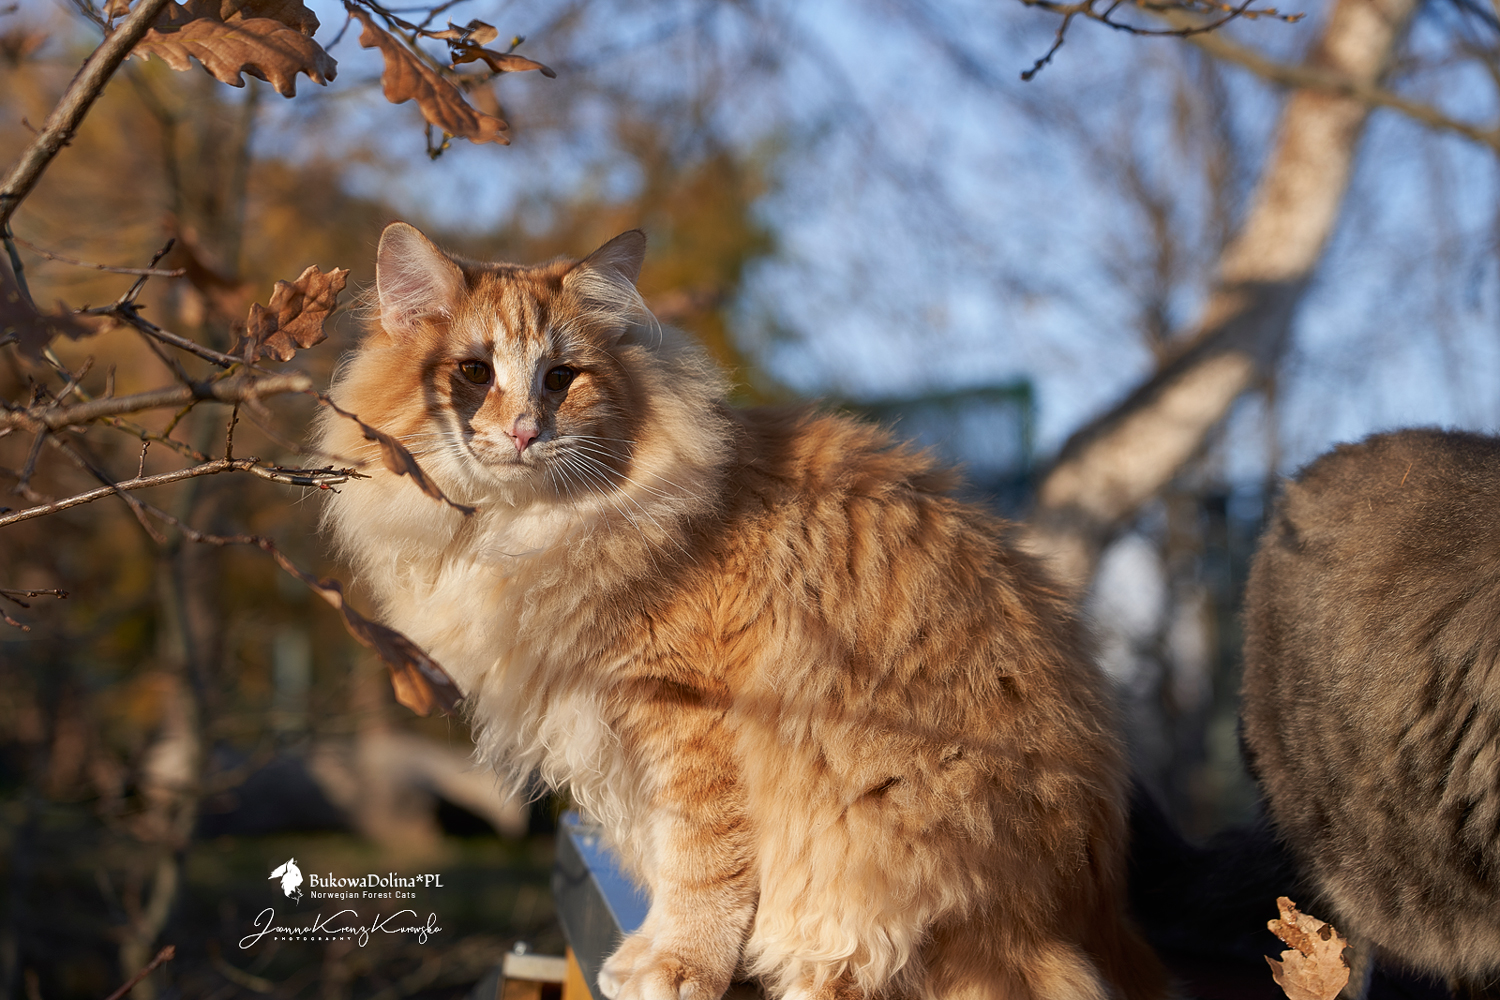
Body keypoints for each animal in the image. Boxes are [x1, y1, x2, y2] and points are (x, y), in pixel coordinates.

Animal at [316, 222, 1169, 1000]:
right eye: (471, 371)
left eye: (561, 378)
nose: (526, 430)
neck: (531, 532)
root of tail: (1083, 911)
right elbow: (675, 862)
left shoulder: (693, 717)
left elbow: (703, 863)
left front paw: (677, 965)